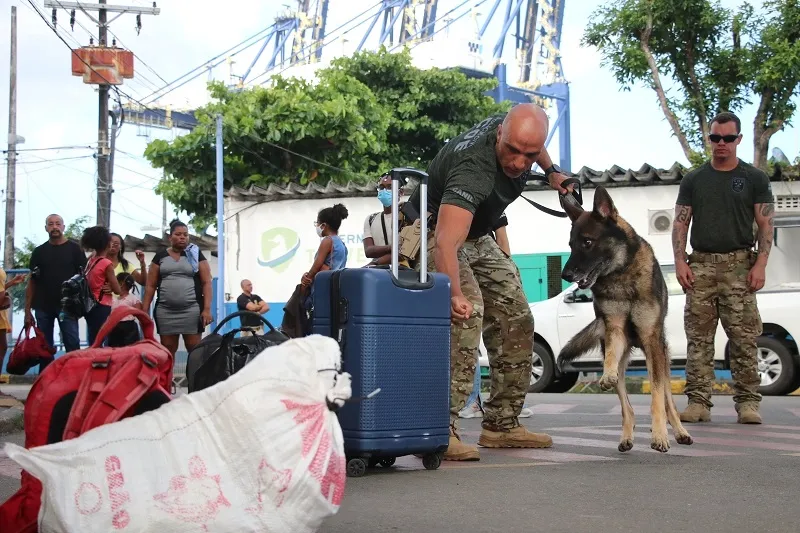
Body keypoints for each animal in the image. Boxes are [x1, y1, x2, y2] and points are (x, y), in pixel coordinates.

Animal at [556, 187, 692, 454]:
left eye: (587, 242)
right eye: (570, 245)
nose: (565, 274)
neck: (621, 276)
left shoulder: (652, 342)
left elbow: (657, 399)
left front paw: (660, 435)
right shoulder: (615, 329)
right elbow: (611, 358)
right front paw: (607, 375)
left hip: (660, 358)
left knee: (668, 401)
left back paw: (680, 431)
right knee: (626, 407)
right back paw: (626, 436)